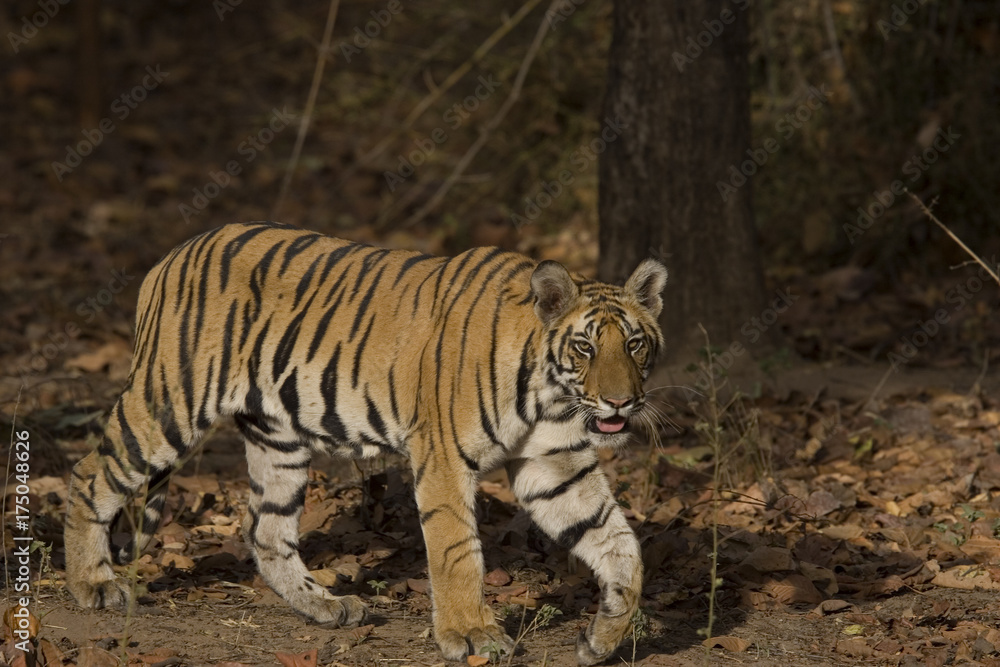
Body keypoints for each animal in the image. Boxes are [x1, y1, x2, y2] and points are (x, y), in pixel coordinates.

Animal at [64, 221, 667, 665]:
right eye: (586, 347)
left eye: (635, 344)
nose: (620, 403)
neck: (552, 394)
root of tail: (170, 256)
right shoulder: (443, 457)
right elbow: (457, 551)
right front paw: (471, 636)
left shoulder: (555, 465)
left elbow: (622, 548)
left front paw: (603, 639)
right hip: (170, 403)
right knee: (89, 473)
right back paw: (94, 584)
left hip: (277, 439)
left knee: (265, 529)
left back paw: (326, 608)